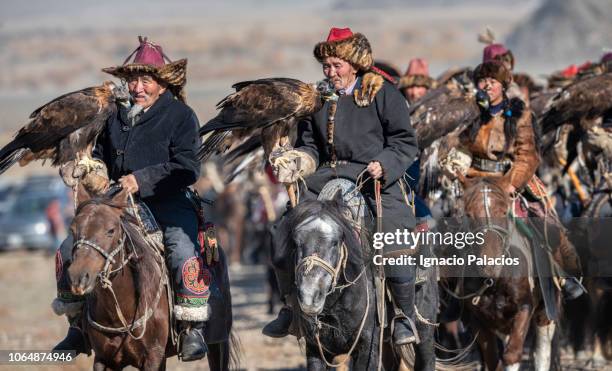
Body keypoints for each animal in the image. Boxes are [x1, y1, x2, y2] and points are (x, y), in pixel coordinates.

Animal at [68, 186, 235, 371]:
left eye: (111, 230)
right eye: (72, 230)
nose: (78, 277)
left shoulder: (153, 357)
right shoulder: (104, 359)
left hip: (219, 343)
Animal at [270, 181, 438, 371]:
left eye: (335, 242)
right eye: (296, 241)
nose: (309, 297)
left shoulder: (367, 348)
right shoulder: (316, 349)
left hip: (424, 332)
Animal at [456, 178, 560, 371]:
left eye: (504, 212)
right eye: (468, 214)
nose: (490, 264)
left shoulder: (524, 308)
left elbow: (512, 355)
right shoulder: (478, 320)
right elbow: (492, 359)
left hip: (545, 313)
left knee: (542, 352)